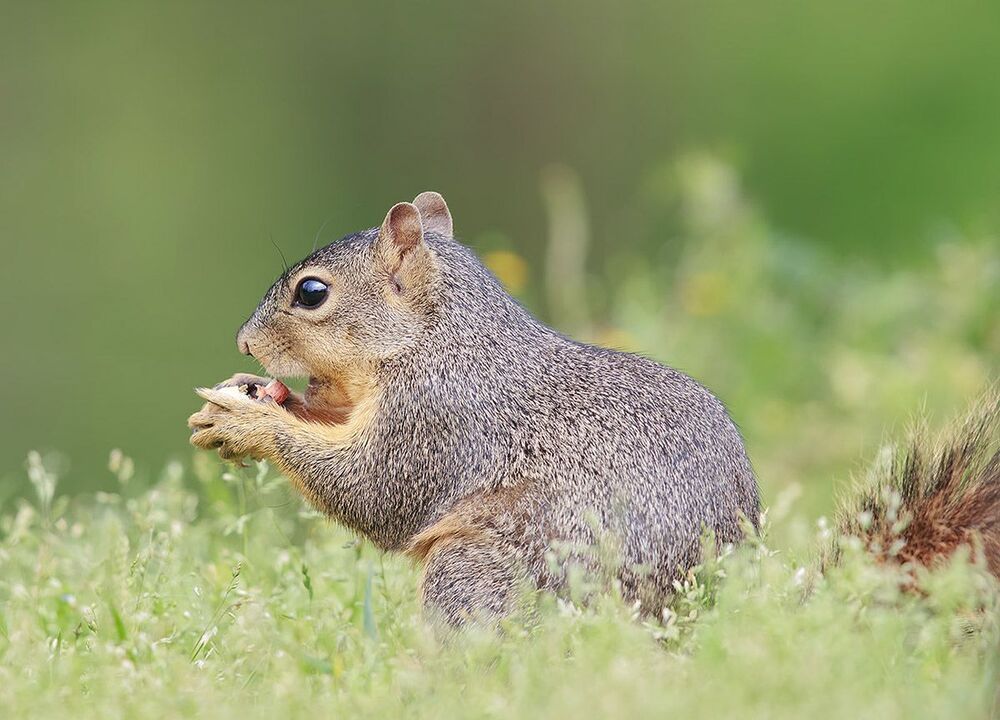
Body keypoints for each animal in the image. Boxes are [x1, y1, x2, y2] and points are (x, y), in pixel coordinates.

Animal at [188, 192, 999, 626]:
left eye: (312, 293)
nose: (244, 341)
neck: (439, 339)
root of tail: (691, 624)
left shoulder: (442, 419)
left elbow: (378, 492)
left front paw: (249, 422)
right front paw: (253, 399)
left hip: (485, 572)